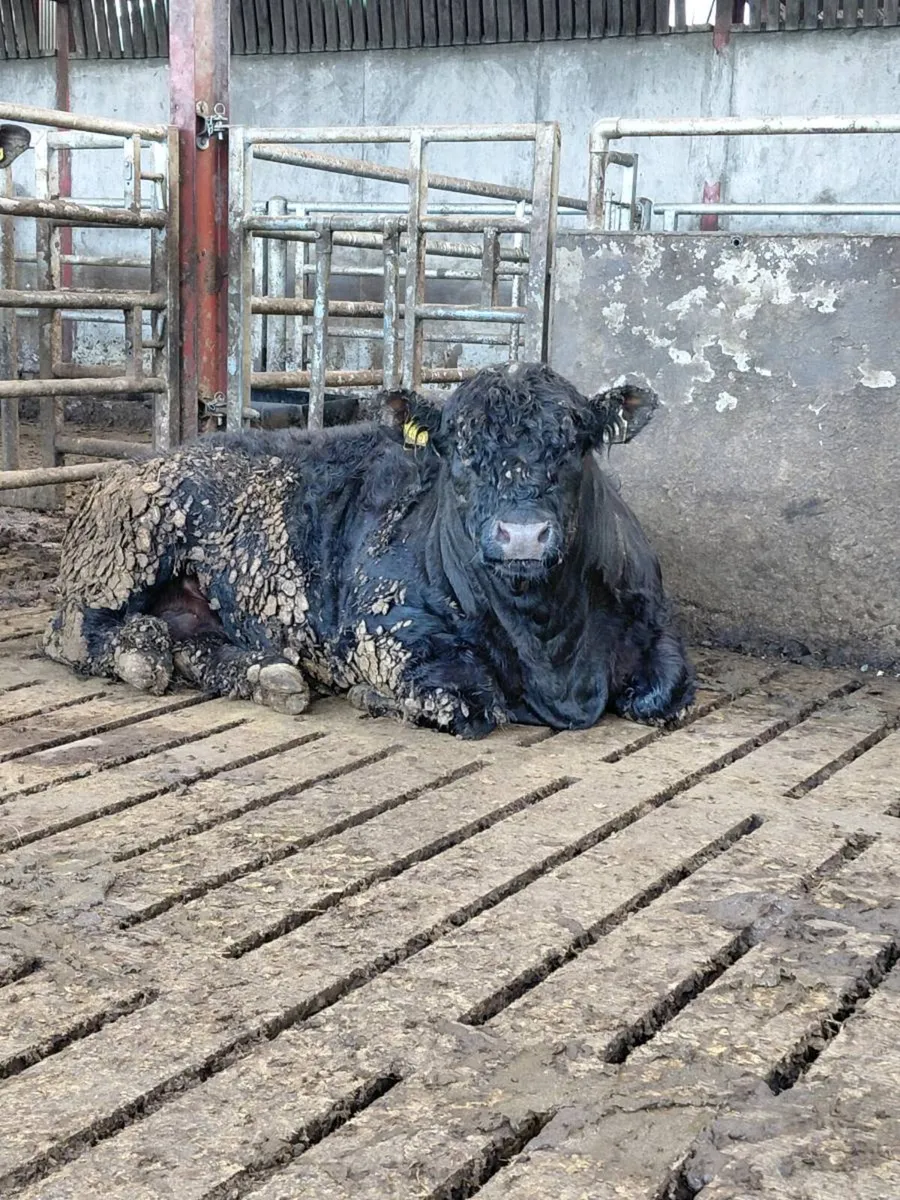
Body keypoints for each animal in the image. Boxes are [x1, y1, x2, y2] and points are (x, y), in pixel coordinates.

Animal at [43, 363, 694, 739]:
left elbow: (666, 694)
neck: (551, 651)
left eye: (575, 445)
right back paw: (141, 653)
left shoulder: (656, 628)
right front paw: (370, 695)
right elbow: (470, 702)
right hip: (123, 561)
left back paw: (269, 676)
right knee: (74, 634)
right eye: (460, 451)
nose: (522, 534)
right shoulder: (382, 629)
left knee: (193, 641)